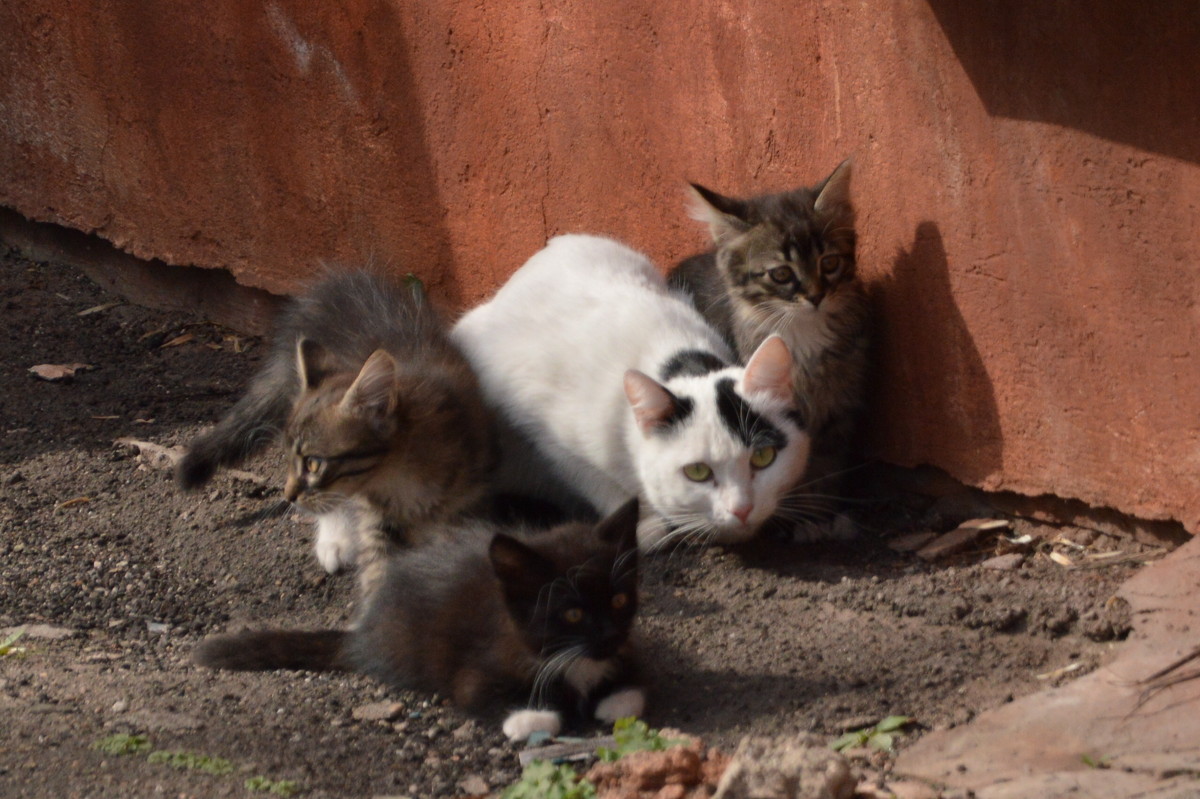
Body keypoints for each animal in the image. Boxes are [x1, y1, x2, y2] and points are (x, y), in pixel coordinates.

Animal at [194, 494, 648, 739]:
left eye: (619, 601)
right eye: (572, 613)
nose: (608, 636)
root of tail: (364, 631)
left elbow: (633, 685)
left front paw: (616, 697)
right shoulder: (477, 670)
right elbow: (489, 698)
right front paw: (531, 717)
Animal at [451, 233, 816, 551]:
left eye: (763, 457)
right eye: (697, 472)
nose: (742, 509)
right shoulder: (543, 430)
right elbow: (591, 477)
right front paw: (645, 525)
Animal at [667, 160, 873, 535]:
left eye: (830, 263)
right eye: (781, 274)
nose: (816, 296)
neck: (800, 333)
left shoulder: (837, 409)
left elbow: (824, 467)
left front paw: (816, 514)